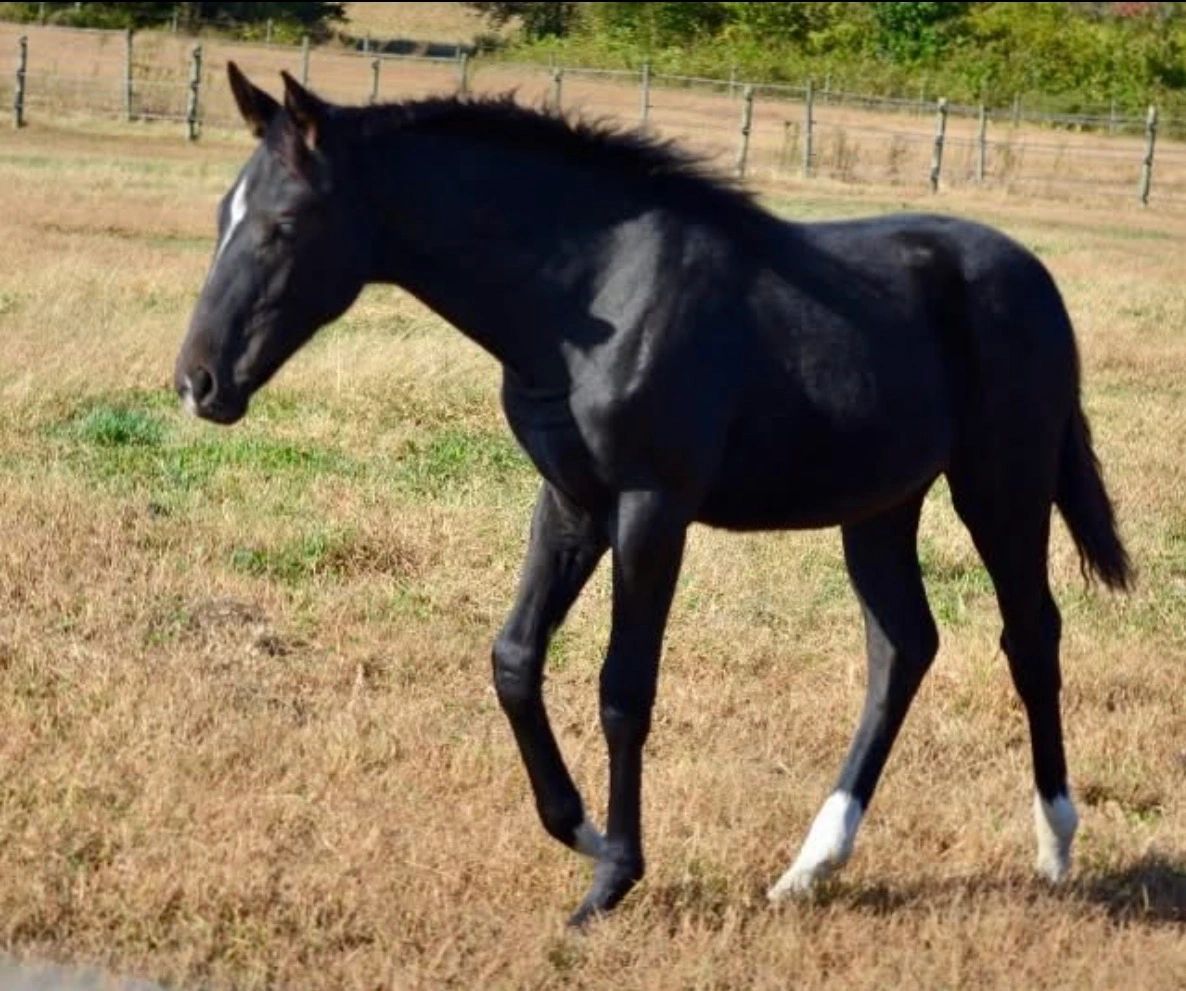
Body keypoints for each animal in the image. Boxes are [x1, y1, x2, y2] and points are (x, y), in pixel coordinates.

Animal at [174, 64, 1131, 926]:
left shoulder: (650, 507)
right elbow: (514, 658)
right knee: (903, 648)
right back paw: (809, 867)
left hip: (1002, 483)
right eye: (220, 213)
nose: (197, 381)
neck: (592, 294)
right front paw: (581, 830)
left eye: (285, 222)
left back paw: (1055, 845)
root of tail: (1035, 276)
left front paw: (614, 876)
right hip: (880, 506)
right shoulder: (570, 500)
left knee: (1029, 634)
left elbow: (623, 687)